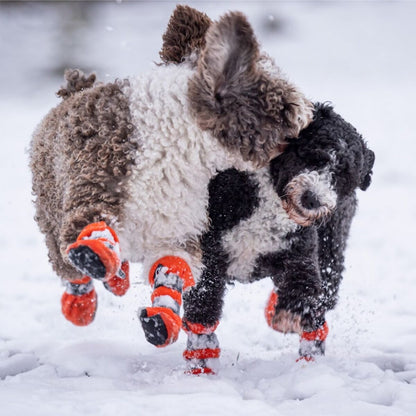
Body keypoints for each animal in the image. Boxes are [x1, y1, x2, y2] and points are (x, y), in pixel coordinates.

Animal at [30, 5, 312, 352]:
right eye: (284, 104)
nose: (309, 114)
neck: (177, 142)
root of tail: (73, 91)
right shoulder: (101, 179)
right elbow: (93, 225)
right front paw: (96, 252)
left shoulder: (176, 232)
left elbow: (171, 272)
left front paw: (161, 320)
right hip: (50, 213)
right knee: (70, 269)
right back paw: (82, 301)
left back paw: (118, 279)